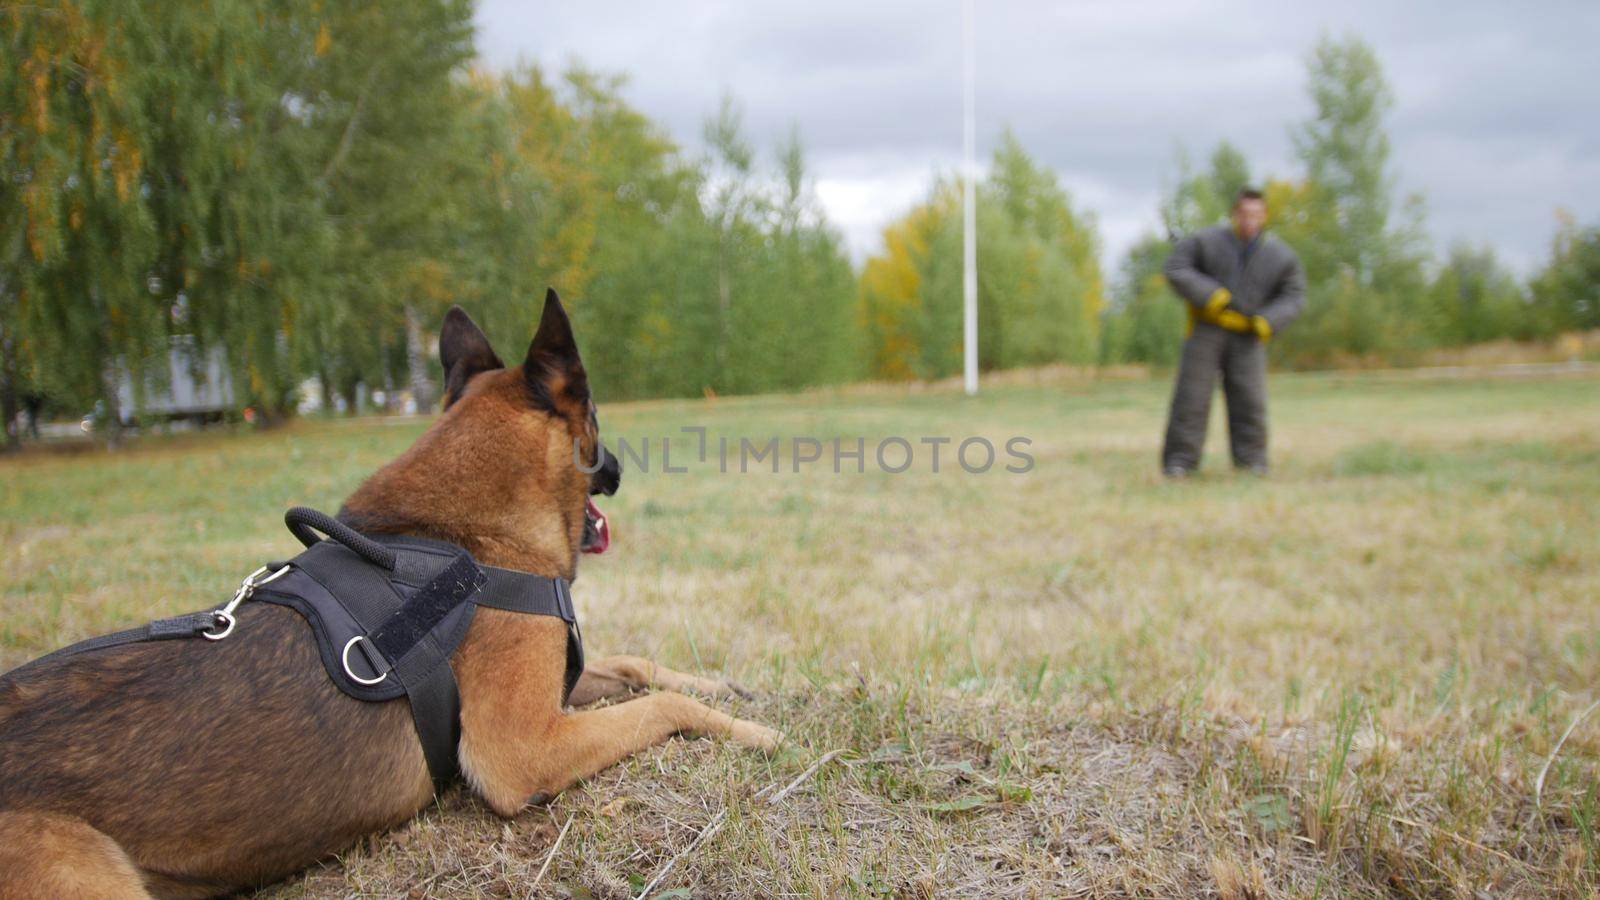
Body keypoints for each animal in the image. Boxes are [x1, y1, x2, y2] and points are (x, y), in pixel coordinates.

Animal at [0, 293, 780, 890]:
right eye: (597, 416)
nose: (617, 466)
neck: (458, 537)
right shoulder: (521, 747)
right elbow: (660, 706)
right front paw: (752, 731)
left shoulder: (558, 686)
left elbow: (638, 666)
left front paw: (726, 687)